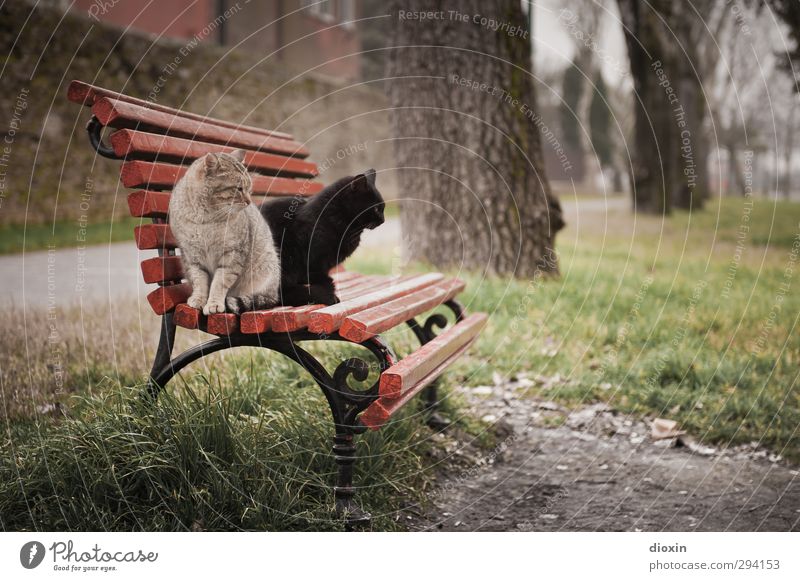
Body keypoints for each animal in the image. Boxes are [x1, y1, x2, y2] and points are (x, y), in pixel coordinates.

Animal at [169, 147, 282, 314]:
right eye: (239, 189)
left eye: (249, 189)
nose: (249, 201)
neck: (206, 219)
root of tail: (275, 294)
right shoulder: (192, 256)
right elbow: (199, 281)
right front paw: (199, 299)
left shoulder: (232, 255)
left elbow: (218, 284)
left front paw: (214, 304)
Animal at [260, 168, 386, 306]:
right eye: (376, 209)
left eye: (383, 208)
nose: (383, 220)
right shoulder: (314, 263)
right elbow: (322, 280)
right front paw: (330, 295)